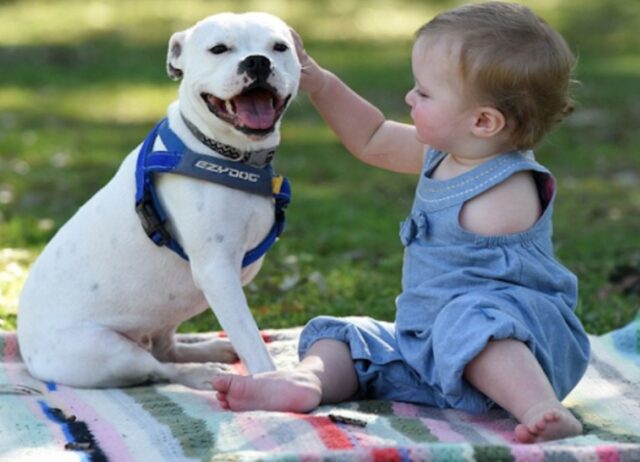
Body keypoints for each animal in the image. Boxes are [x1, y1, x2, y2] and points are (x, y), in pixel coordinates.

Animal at [16, 11, 302, 390]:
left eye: (279, 47)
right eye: (219, 49)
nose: (257, 61)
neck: (227, 154)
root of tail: (26, 351)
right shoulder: (217, 273)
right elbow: (251, 340)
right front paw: (274, 382)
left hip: (167, 310)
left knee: (166, 349)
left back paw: (210, 351)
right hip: (106, 352)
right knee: (160, 368)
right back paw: (205, 373)